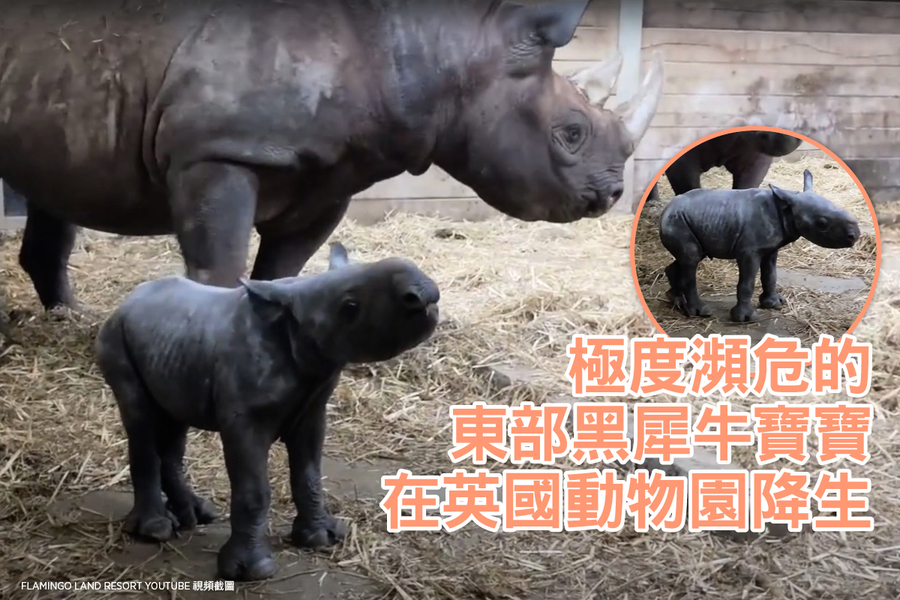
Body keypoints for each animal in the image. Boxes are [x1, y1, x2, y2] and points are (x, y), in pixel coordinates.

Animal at [0, 0, 660, 318]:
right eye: (570, 133)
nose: (610, 194)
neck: (441, 52)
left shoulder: (332, 175)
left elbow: (282, 271)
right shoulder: (215, 151)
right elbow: (218, 266)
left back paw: (70, 318)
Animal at [94, 241, 440, 580]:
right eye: (350, 306)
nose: (424, 293)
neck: (294, 329)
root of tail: (128, 300)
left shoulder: (313, 407)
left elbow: (309, 473)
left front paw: (321, 538)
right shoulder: (244, 419)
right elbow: (253, 488)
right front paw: (251, 571)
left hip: (171, 344)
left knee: (174, 420)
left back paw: (196, 515)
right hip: (115, 335)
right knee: (139, 418)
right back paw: (155, 531)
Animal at [656, 169, 860, 324]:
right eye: (822, 223)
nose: (855, 235)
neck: (787, 207)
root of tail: (666, 210)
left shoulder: (771, 248)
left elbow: (770, 275)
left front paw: (774, 304)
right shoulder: (749, 251)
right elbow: (747, 282)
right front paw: (746, 318)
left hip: (688, 220)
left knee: (688, 257)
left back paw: (676, 300)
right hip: (678, 220)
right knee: (691, 258)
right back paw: (700, 312)